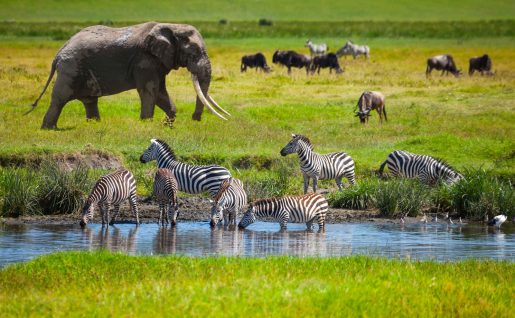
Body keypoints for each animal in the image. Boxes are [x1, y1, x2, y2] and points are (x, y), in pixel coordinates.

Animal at [29, 21, 229, 129]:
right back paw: (49, 129)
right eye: (194, 53)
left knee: (89, 100)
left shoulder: (157, 62)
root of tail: (59, 52)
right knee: (60, 99)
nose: (195, 119)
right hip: (70, 69)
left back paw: (95, 125)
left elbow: (160, 93)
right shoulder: (145, 61)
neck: (171, 26)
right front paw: (147, 125)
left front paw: (167, 126)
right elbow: (150, 91)